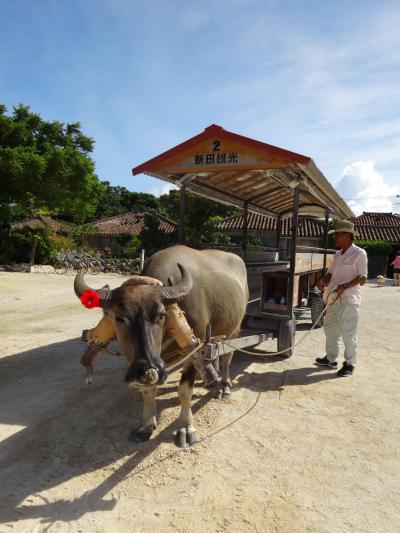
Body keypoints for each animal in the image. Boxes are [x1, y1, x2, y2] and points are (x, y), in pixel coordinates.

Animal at [74, 244, 247, 444]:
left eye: (162, 315)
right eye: (119, 318)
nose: (146, 366)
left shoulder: (191, 351)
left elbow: (184, 390)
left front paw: (186, 427)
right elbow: (149, 390)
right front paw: (146, 425)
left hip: (235, 329)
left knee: (227, 357)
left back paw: (224, 386)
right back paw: (211, 378)